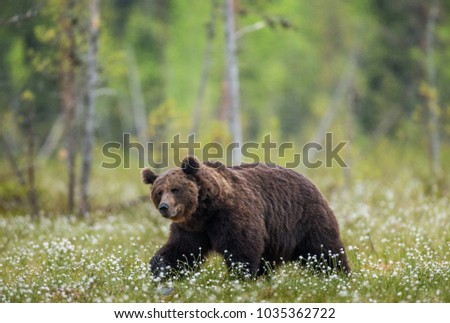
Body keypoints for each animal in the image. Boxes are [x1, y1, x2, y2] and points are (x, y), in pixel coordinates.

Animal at [142, 156, 350, 278]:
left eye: (175, 189)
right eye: (159, 192)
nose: (164, 207)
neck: (205, 211)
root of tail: (312, 182)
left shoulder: (232, 215)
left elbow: (241, 248)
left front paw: (239, 277)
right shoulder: (191, 227)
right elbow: (182, 249)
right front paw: (159, 267)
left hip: (305, 219)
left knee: (324, 250)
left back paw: (339, 275)